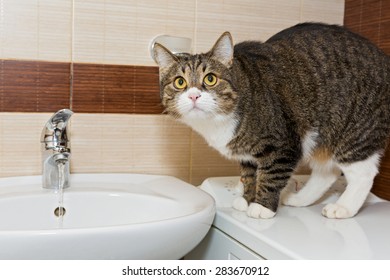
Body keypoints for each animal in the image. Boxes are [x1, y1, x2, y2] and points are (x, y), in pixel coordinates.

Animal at [152, 22, 390, 219]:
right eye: (180, 82)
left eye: (210, 79)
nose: (193, 96)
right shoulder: (246, 154)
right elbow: (250, 175)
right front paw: (247, 199)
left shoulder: (283, 144)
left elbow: (271, 175)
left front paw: (262, 206)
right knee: (327, 172)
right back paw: (299, 199)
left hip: (354, 130)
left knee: (363, 173)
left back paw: (343, 207)